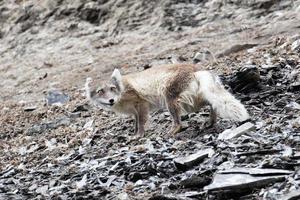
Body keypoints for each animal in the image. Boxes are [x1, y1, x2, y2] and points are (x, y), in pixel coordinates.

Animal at [85, 63, 250, 136]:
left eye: (112, 88)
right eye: (100, 91)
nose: (111, 100)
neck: (122, 90)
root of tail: (196, 68)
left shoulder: (141, 104)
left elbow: (141, 122)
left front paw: (139, 136)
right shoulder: (134, 112)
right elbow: (136, 123)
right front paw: (134, 134)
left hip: (170, 98)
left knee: (179, 121)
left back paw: (173, 130)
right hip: (193, 100)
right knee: (212, 102)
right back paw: (210, 122)